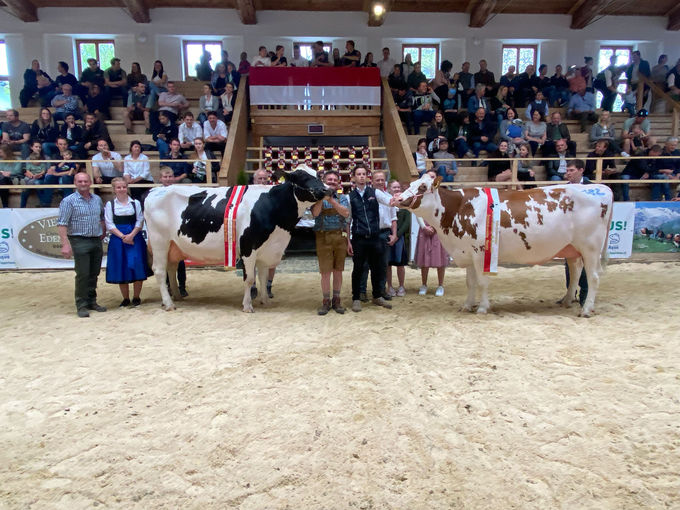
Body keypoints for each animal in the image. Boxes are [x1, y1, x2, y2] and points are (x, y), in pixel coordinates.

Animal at [145, 165, 330, 312]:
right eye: (302, 176)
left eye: (318, 174)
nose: (326, 190)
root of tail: (155, 190)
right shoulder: (248, 247)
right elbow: (249, 278)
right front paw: (247, 306)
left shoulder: (266, 249)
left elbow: (263, 276)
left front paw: (265, 301)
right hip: (159, 241)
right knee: (160, 271)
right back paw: (169, 304)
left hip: (173, 245)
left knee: (171, 267)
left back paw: (176, 296)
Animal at [396, 176, 612, 318]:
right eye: (411, 184)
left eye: (422, 186)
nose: (396, 198)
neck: (458, 209)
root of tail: (602, 188)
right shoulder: (468, 253)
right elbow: (470, 282)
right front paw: (467, 306)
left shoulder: (480, 252)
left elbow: (482, 282)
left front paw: (483, 308)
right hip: (572, 248)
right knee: (575, 272)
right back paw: (566, 301)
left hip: (590, 247)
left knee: (593, 277)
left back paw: (586, 310)